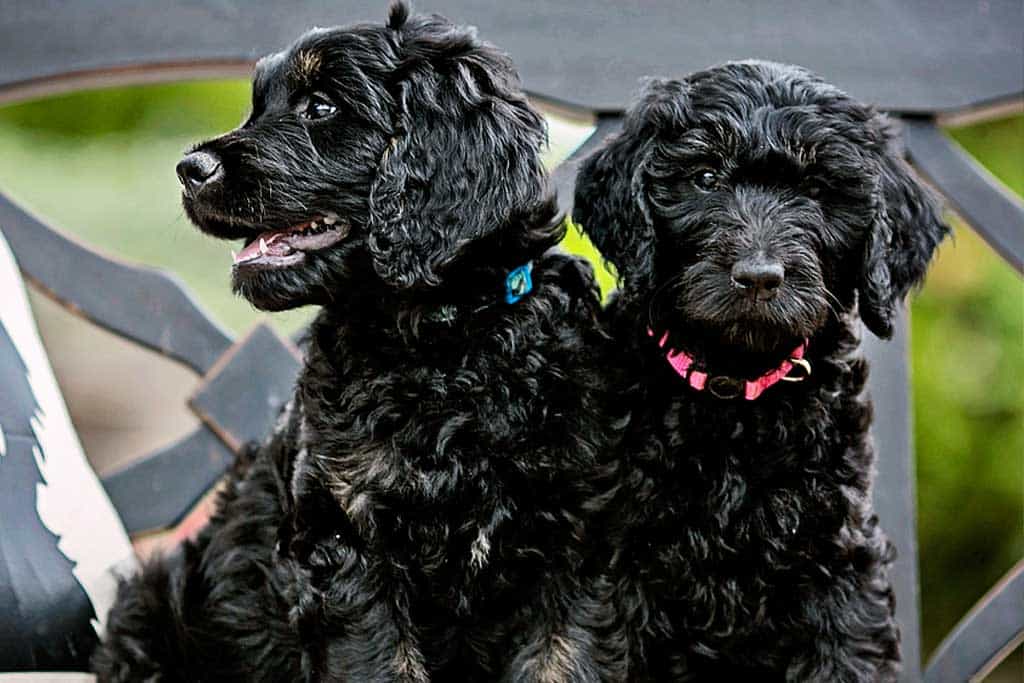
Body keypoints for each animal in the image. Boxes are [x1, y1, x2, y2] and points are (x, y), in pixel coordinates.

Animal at [96, 3, 618, 679]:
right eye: (259, 104)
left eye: (321, 106)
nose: (189, 170)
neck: (440, 341)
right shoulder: (348, 536)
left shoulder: (569, 542)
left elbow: (560, 658)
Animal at [573, 61, 946, 679]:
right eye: (704, 177)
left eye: (817, 191)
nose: (758, 276)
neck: (734, 393)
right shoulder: (613, 569)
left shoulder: (841, 568)